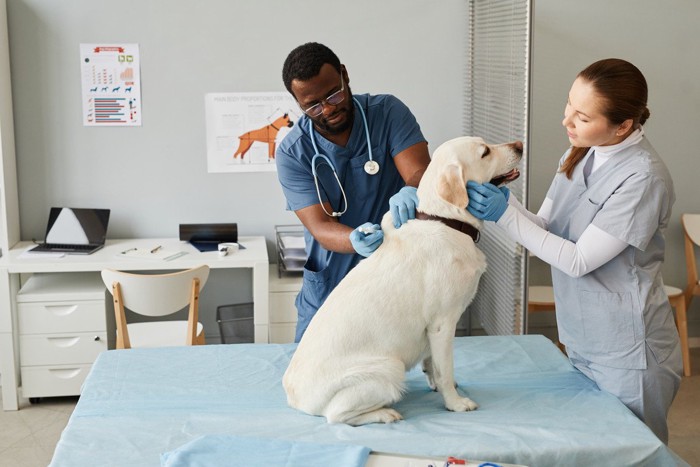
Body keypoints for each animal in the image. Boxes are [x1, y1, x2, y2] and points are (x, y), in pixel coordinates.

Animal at [284, 136, 520, 428]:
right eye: (485, 152)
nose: (520, 145)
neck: (447, 221)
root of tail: (295, 398)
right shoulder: (443, 324)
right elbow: (445, 368)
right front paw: (455, 402)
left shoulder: (432, 332)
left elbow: (433, 365)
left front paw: (439, 386)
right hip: (390, 367)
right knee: (336, 416)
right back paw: (385, 413)